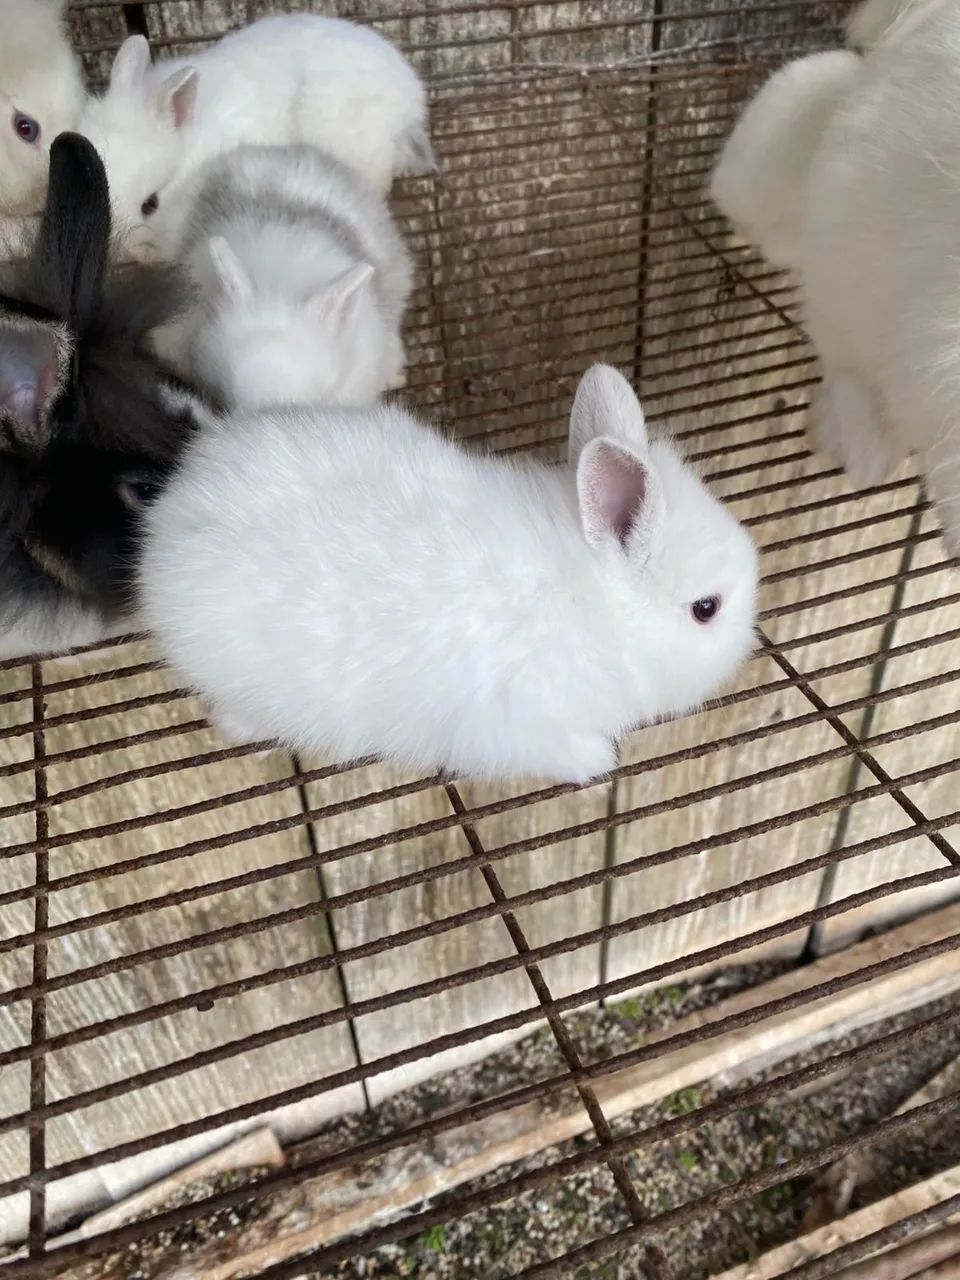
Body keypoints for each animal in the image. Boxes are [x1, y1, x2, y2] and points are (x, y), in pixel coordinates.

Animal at [138, 365, 758, 785]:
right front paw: (597, 763)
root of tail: (177, 501)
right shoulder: (514, 725)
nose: (747, 644)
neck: (597, 607)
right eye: (707, 609)